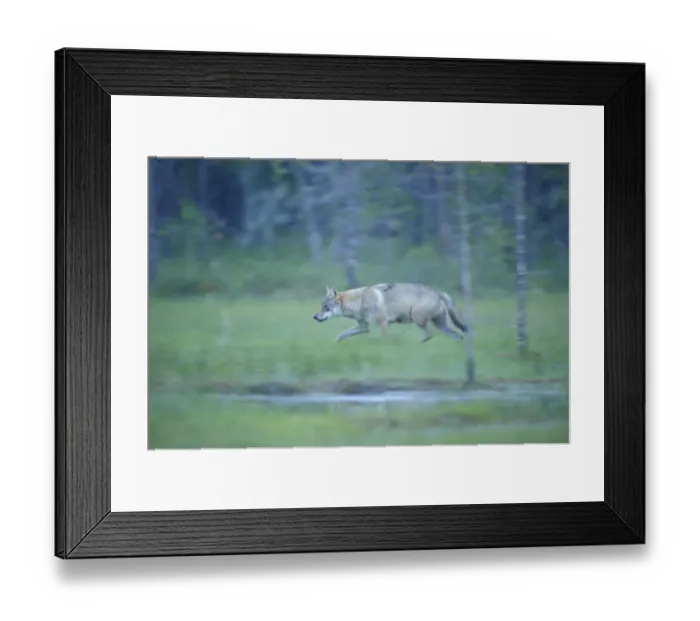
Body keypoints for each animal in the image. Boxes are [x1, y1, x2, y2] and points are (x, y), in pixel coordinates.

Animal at [313, 282, 468, 343]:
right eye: (321, 306)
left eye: (326, 307)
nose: (314, 317)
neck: (360, 301)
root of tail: (438, 292)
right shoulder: (363, 327)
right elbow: (341, 335)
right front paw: (336, 344)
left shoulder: (383, 323)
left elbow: (384, 340)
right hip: (441, 326)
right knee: (457, 336)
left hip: (417, 318)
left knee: (428, 336)